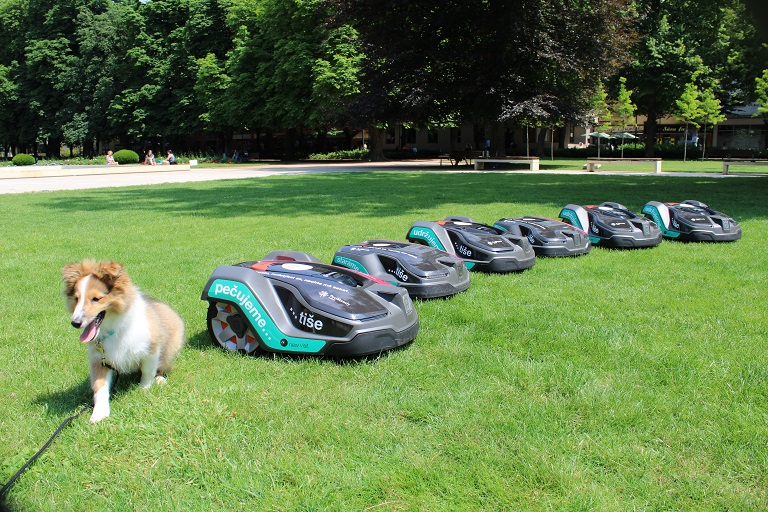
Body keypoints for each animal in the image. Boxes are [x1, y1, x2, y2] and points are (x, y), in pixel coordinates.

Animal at [62, 260, 184, 424]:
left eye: (96, 299)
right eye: (76, 299)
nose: (75, 323)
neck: (114, 328)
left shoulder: (151, 348)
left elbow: (147, 370)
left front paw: (144, 389)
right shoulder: (99, 360)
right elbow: (99, 387)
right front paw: (99, 414)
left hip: (169, 349)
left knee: (161, 366)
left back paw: (159, 380)